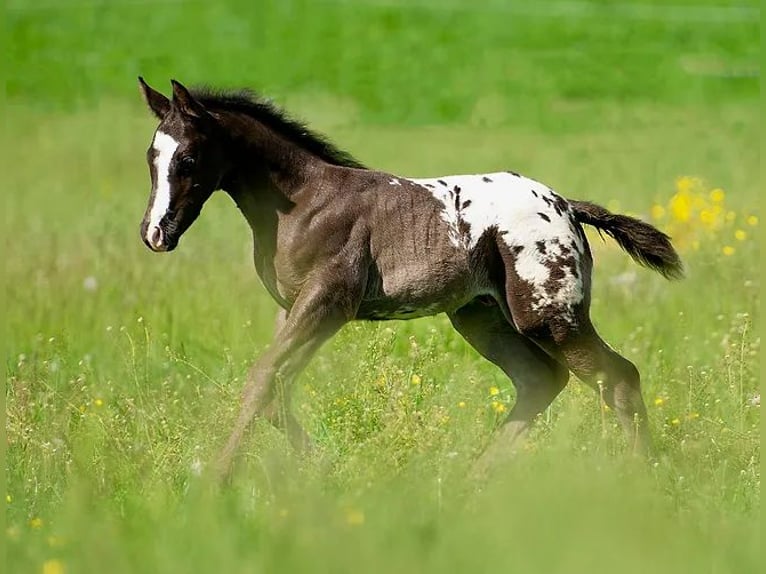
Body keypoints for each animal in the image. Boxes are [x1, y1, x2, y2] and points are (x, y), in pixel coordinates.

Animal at [138, 79, 684, 480]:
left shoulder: (327, 303)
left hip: (547, 315)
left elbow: (262, 379)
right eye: (151, 158)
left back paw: (644, 479)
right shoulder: (294, 308)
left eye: (187, 159)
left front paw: (216, 479)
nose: (154, 233)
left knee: (618, 378)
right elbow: (278, 388)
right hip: (481, 316)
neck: (304, 202)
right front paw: (327, 469)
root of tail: (566, 205)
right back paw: (472, 483)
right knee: (542, 380)